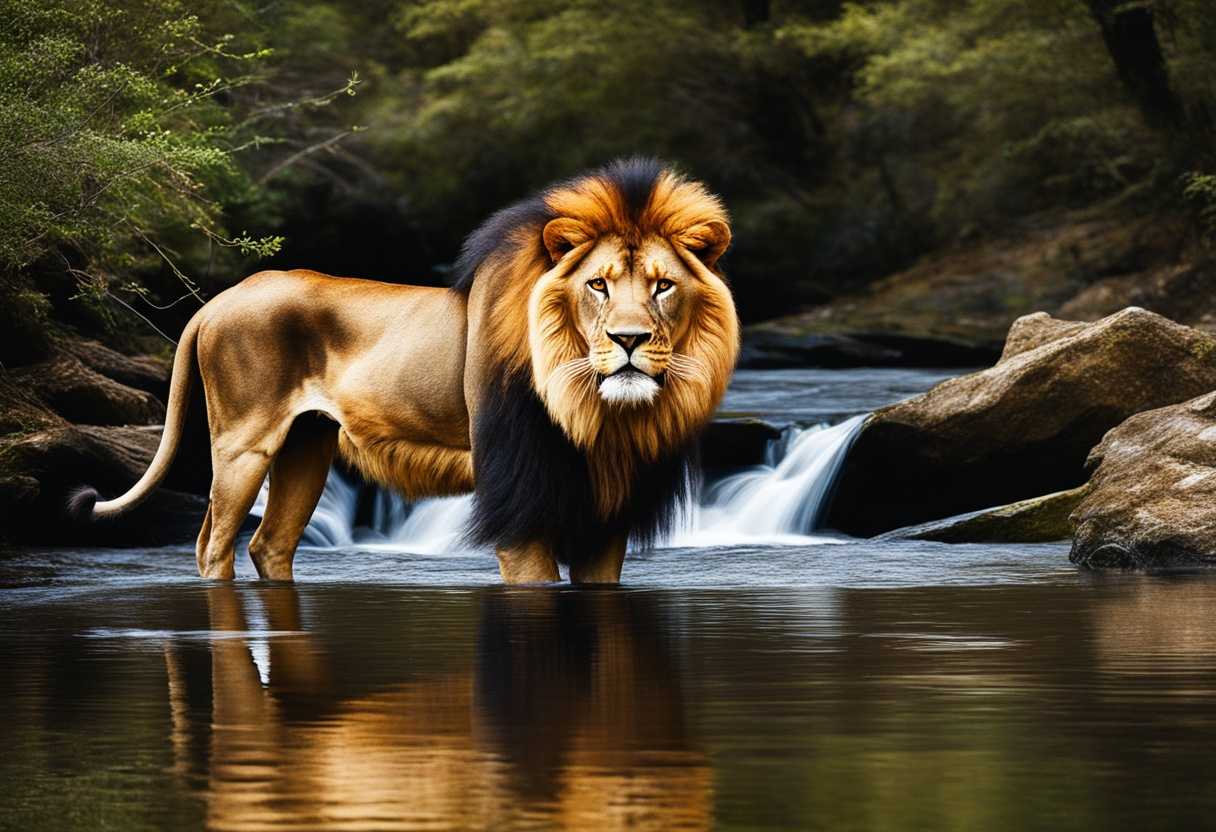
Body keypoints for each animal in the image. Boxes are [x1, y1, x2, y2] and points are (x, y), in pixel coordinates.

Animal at [70, 158, 739, 583]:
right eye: (598, 285)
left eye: (662, 286)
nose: (629, 340)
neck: (591, 411)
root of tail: (220, 299)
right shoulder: (517, 504)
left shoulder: (606, 516)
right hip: (242, 443)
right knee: (212, 542)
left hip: (307, 446)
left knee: (269, 542)